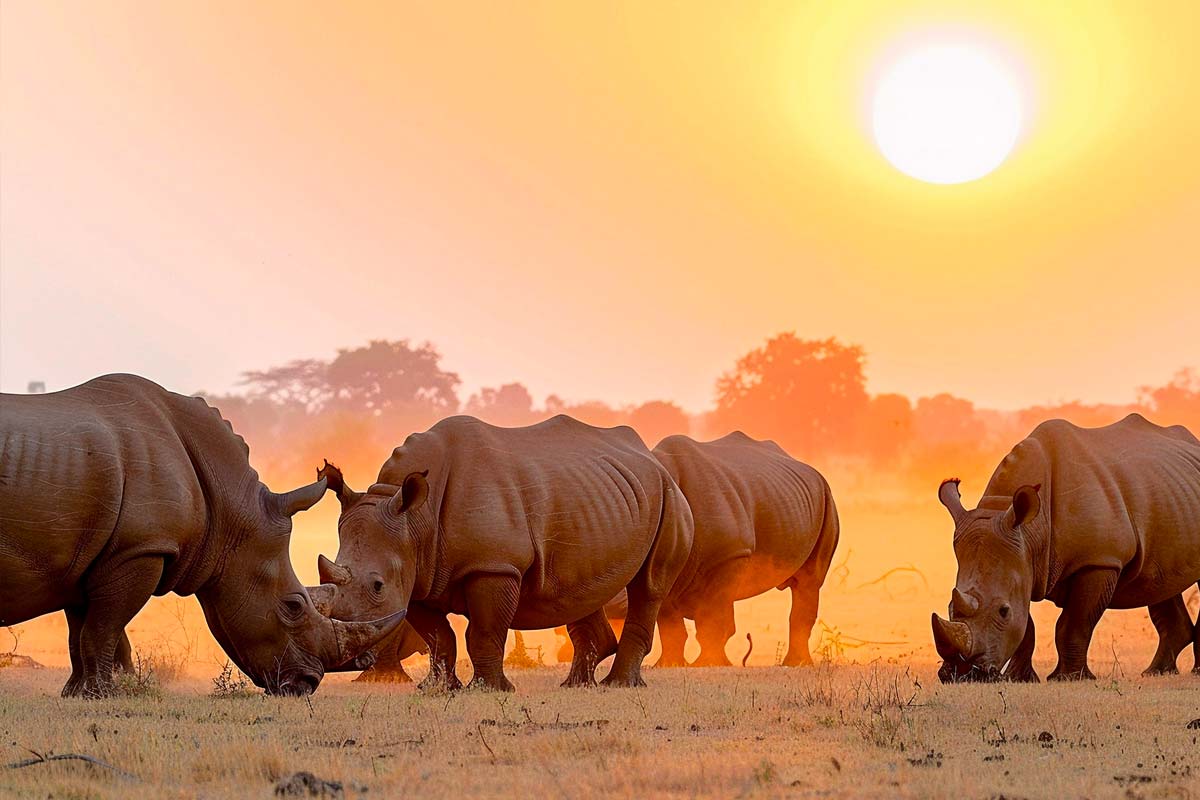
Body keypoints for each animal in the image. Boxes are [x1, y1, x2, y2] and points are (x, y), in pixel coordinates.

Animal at [0, 375, 405, 697]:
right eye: (293, 606)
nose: (307, 683)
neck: (230, 513)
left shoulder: (91, 555)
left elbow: (86, 629)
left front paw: (80, 692)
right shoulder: (139, 549)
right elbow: (103, 627)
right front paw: (99, 695)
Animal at [312, 414, 694, 691]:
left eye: (377, 585)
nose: (342, 663)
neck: (416, 518)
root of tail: (652, 458)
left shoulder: (494, 566)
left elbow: (483, 631)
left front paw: (489, 690)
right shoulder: (417, 575)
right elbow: (438, 636)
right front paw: (437, 689)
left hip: (669, 496)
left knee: (649, 587)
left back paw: (620, 685)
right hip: (599, 496)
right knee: (584, 589)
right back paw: (575, 686)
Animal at [933, 414, 1200, 682]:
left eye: (1003, 611)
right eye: (950, 607)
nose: (963, 674)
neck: (1031, 530)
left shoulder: (1098, 560)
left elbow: (1073, 624)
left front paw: (1070, 678)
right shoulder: (1023, 563)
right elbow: (1026, 626)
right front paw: (1019, 678)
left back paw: (1189, 673)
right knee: (1161, 582)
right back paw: (1156, 672)